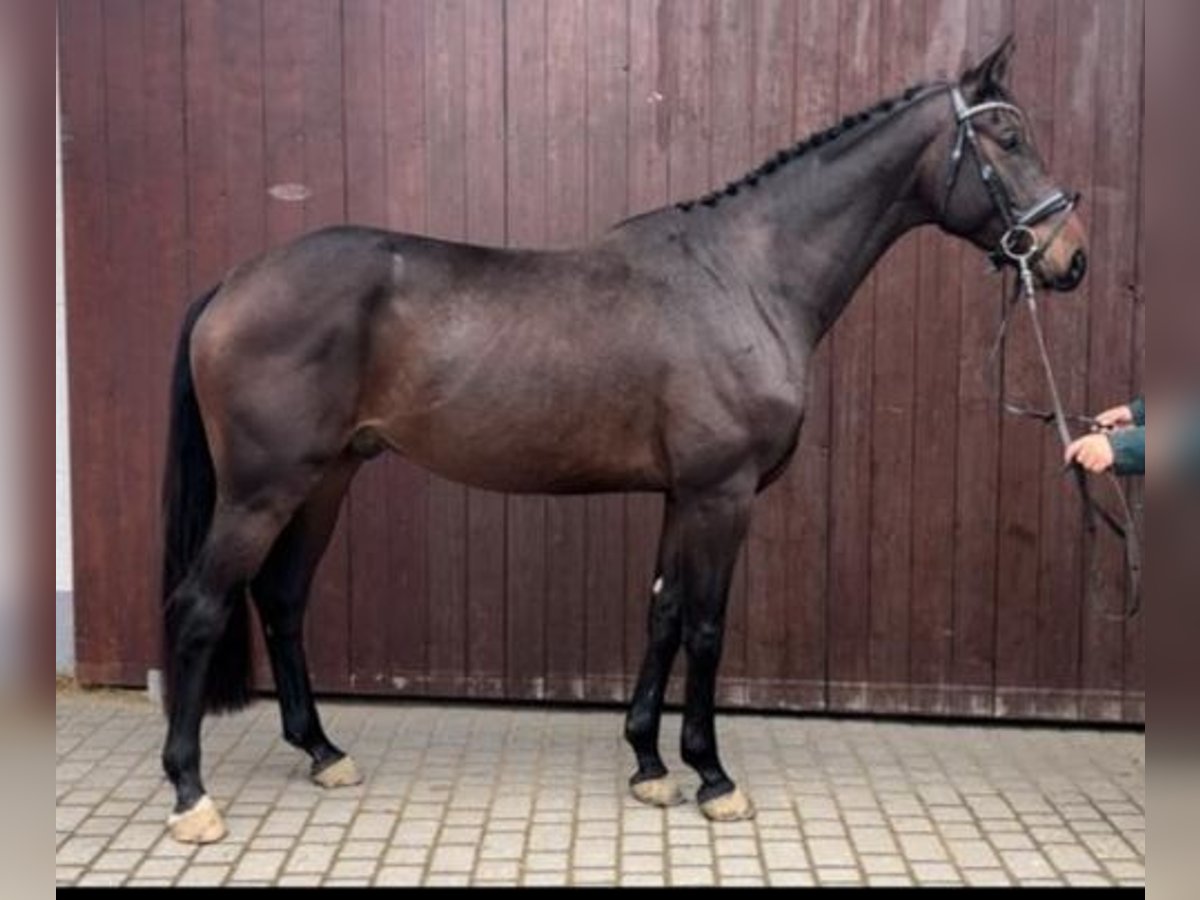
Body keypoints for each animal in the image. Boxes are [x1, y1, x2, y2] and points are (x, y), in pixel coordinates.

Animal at [159, 38, 1089, 844]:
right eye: (1009, 137)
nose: (1069, 256)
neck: (746, 277)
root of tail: (232, 284)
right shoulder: (722, 493)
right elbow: (707, 626)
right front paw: (712, 776)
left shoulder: (683, 494)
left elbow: (664, 614)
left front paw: (648, 762)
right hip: (263, 490)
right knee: (202, 605)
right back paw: (190, 792)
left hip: (327, 480)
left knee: (282, 599)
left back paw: (322, 751)